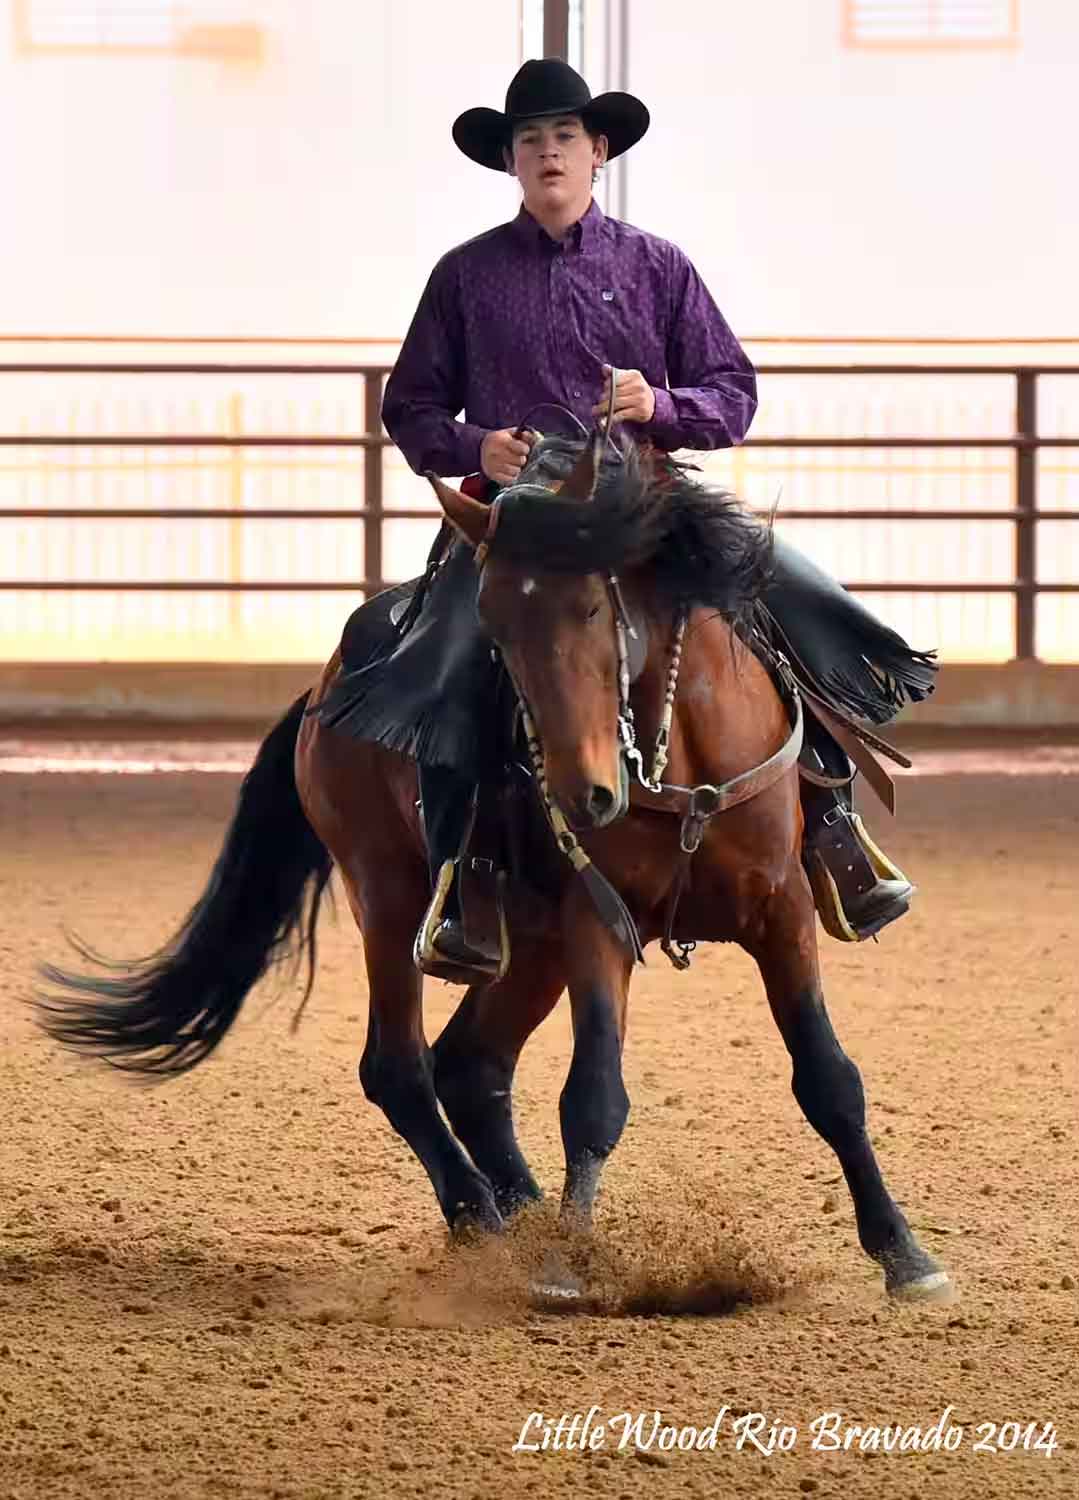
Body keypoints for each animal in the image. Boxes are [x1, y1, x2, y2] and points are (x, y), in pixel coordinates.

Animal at [36, 433, 951, 1303]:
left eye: (595, 605)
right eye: (495, 628)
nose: (583, 793)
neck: (675, 759)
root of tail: (323, 694)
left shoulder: (782, 909)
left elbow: (829, 1080)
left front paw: (904, 1255)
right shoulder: (597, 922)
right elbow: (593, 1095)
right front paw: (571, 1266)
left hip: (530, 942)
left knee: (469, 1065)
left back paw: (522, 1214)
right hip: (389, 897)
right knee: (401, 1069)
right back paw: (482, 1215)